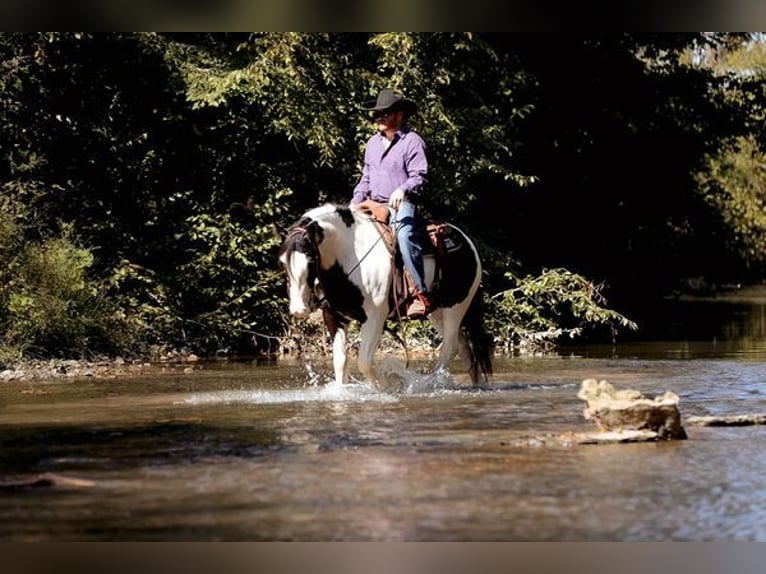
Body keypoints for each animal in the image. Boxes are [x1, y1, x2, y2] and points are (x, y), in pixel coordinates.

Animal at [280, 205, 496, 390]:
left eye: (310, 259)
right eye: (282, 261)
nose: (298, 310)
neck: (350, 254)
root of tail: (467, 242)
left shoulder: (374, 317)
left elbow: (364, 362)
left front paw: (383, 387)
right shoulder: (335, 317)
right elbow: (340, 363)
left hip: (456, 308)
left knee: (450, 348)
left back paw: (428, 384)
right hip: (436, 312)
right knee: (464, 347)